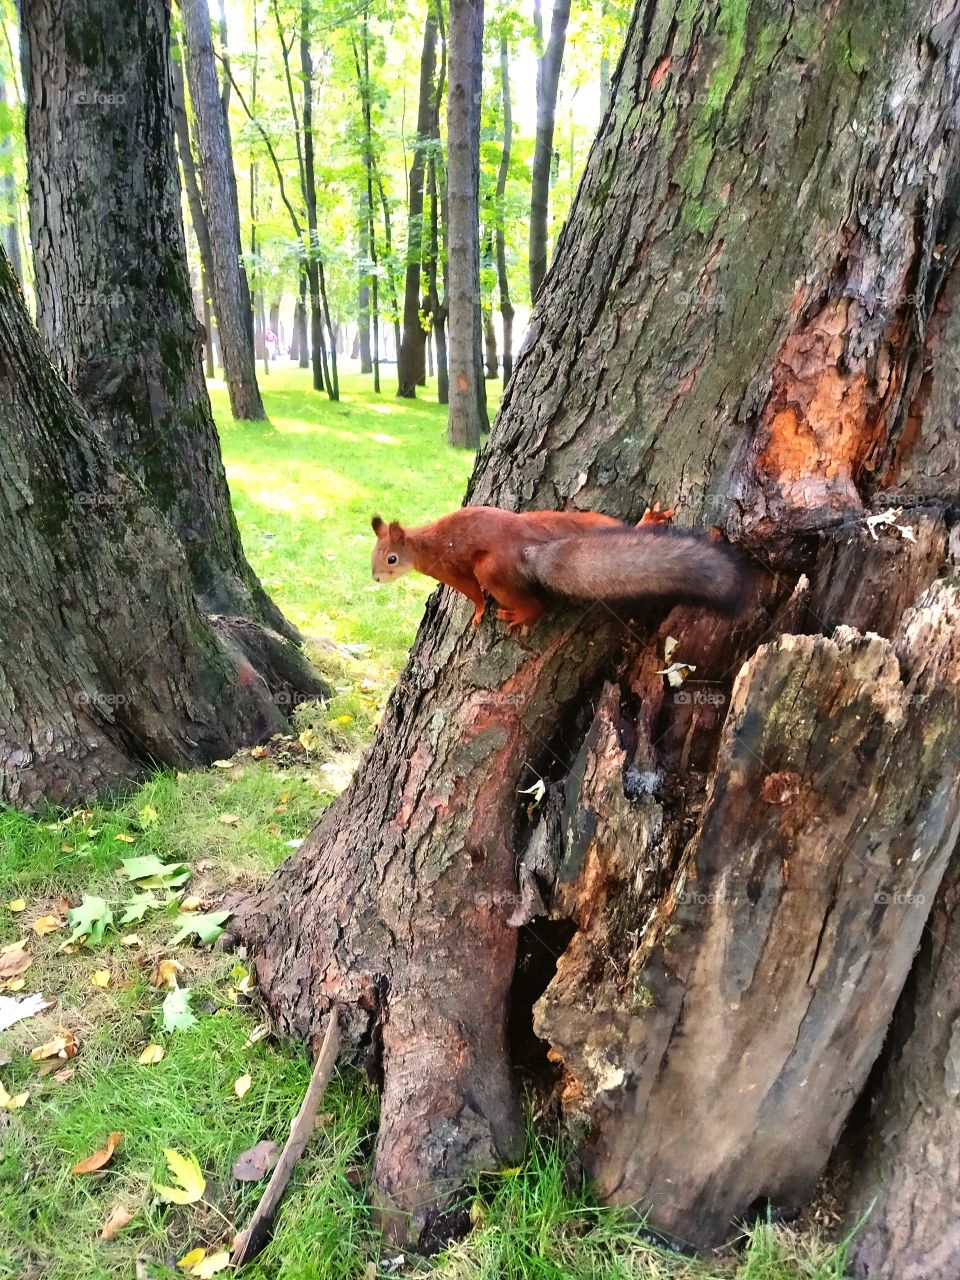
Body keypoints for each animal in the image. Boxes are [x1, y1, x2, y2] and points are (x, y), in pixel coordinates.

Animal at [370, 504, 746, 630]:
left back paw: (522, 614)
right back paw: (646, 523)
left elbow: (472, 594)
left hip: (491, 568)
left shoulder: (448, 569)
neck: (419, 544)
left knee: (534, 603)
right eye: (372, 554)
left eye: (391, 559)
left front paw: (476, 613)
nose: (375, 578)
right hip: (581, 522)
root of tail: (530, 546)